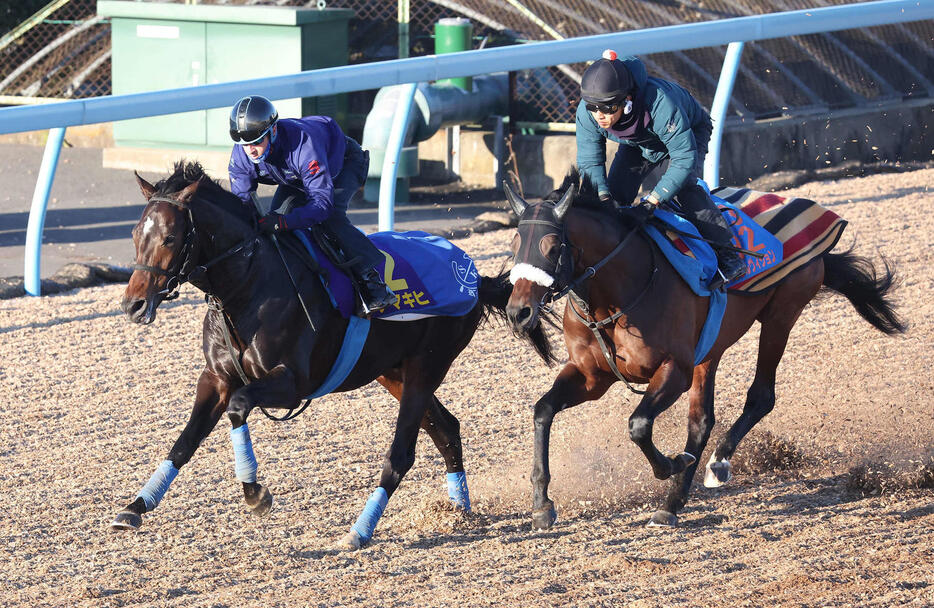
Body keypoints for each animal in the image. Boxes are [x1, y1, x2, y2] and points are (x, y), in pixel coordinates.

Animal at [111, 162, 548, 552]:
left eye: (170, 237)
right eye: (134, 233)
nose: (133, 305)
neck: (250, 286)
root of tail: (472, 276)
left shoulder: (291, 383)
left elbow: (238, 407)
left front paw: (255, 493)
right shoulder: (216, 377)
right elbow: (185, 441)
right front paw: (135, 506)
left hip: (428, 366)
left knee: (401, 455)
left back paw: (359, 532)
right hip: (394, 372)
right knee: (446, 429)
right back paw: (458, 510)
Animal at [504, 169, 908, 528]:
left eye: (551, 247)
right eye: (513, 247)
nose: (518, 311)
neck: (616, 294)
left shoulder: (675, 369)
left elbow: (638, 425)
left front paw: (673, 463)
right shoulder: (592, 377)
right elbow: (543, 410)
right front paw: (541, 503)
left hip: (782, 315)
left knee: (761, 396)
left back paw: (716, 465)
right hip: (711, 351)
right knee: (702, 421)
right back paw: (672, 504)